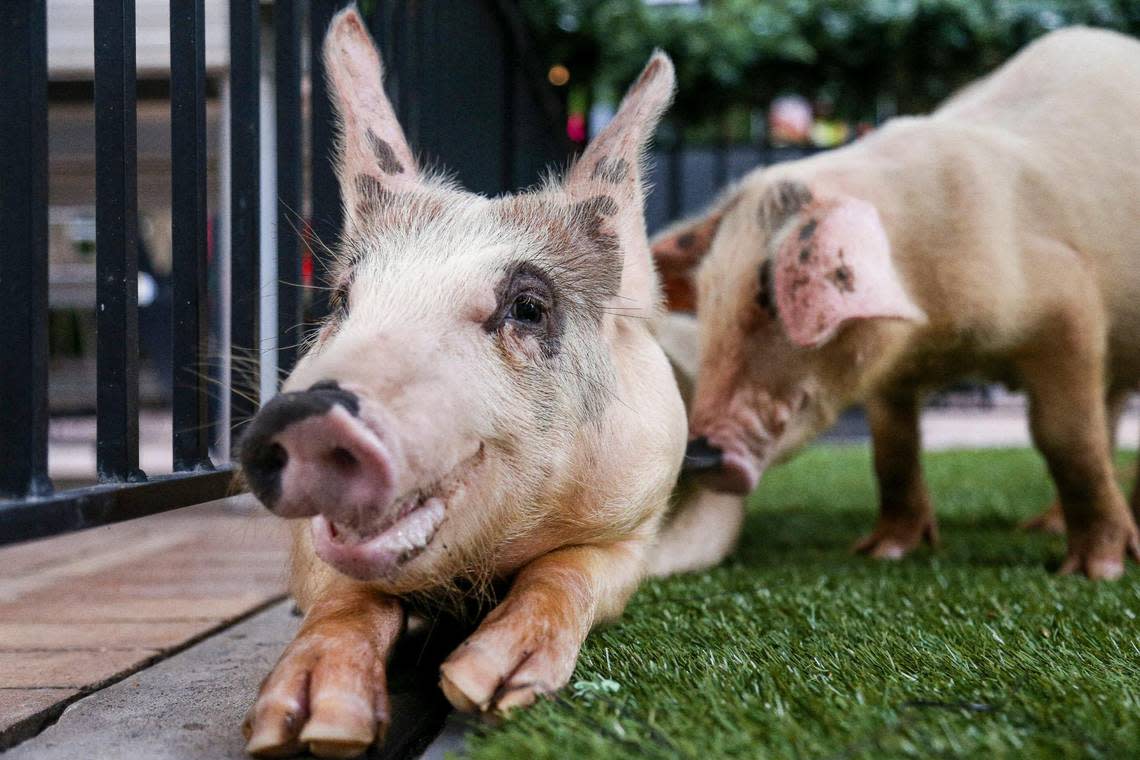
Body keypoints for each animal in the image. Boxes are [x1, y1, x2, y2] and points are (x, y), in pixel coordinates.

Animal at [237, 7, 688, 760]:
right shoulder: (310, 550)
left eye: (528, 307)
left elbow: (566, 571)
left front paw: (483, 689)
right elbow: (344, 595)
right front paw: (306, 730)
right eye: (342, 299)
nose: (309, 412)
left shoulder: (638, 515)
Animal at [656, 26, 1140, 578]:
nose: (698, 454)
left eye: (769, 299)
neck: (939, 333)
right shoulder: (886, 363)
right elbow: (891, 448)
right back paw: (1041, 526)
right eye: (708, 297)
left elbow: (1066, 439)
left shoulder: (1069, 307)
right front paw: (879, 552)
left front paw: (1095, 572)